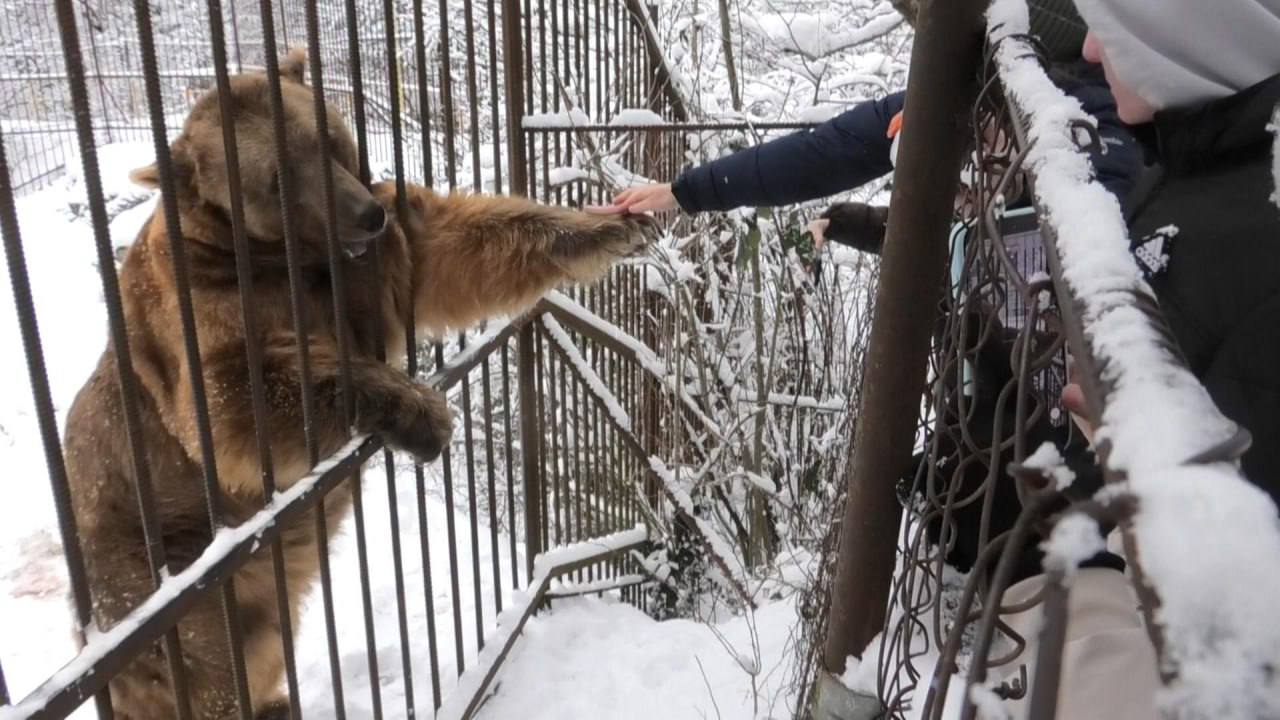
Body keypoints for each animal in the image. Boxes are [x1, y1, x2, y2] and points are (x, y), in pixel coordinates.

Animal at [62, 49, 656, 719]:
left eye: (328, 135)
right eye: (275, 178)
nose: (366, 215)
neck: (285, 258)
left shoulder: (364, 267)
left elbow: (449, 245)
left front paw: (610, 226)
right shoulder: (201, 307)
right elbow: (233, 397)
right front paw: (425, 414)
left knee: (258, 641)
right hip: (156, 562)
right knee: (211, 667)